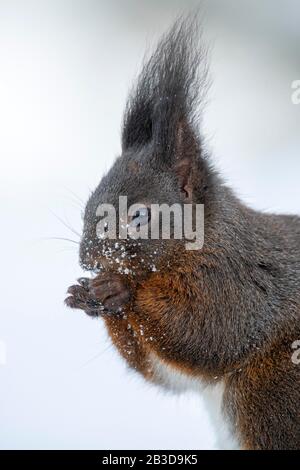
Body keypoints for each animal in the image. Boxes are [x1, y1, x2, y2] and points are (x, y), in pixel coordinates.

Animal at [65, 18, 300, 450]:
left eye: (139, 214)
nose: (86, 259)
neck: (202, 243)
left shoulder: (235, 285)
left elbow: (205, 334)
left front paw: (118, 290)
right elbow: (169, 372)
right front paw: (86, 295)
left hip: (271, 393)